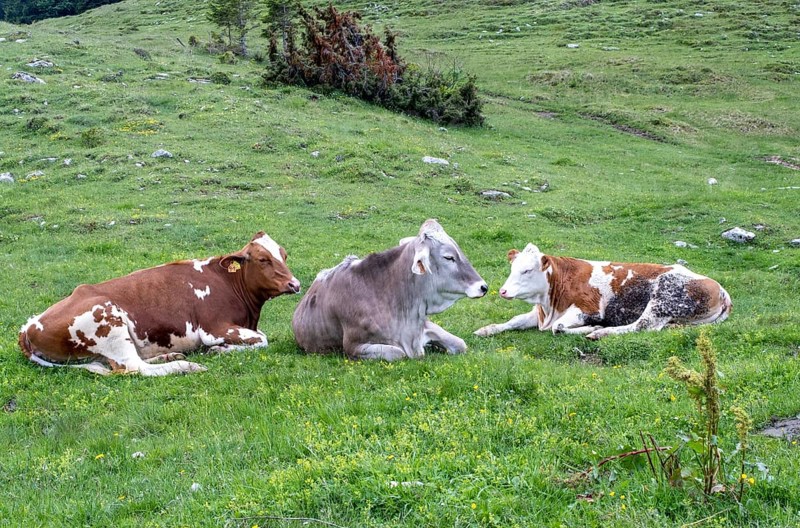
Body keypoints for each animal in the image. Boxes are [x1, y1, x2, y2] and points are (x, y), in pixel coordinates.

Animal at [18, 232, 301, 376]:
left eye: (284, 255)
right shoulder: (213, 328)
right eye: (263, 259)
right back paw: (186, 365)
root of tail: (28, 326)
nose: (295, 284)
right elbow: (262, 340)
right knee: (134, 367)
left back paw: (170, 354)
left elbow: (260, 336)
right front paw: (219, 350)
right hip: (108, 322)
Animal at [292, 219, 488, 360]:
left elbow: (460, 343)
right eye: (449, 257)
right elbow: (398, 353)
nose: (483, 287)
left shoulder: (424, 326)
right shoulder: (354, 346)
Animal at [474, 244, 731, 340]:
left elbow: (558, 327)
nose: (503, 291)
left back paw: (601, 333)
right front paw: (486, 329)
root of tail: (720, 288)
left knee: (641, 326)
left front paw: (593, 328)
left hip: (662, 298)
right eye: (512, 268)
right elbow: (514, 320)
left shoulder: (589, 310)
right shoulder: (540, 313)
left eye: (527, 270)